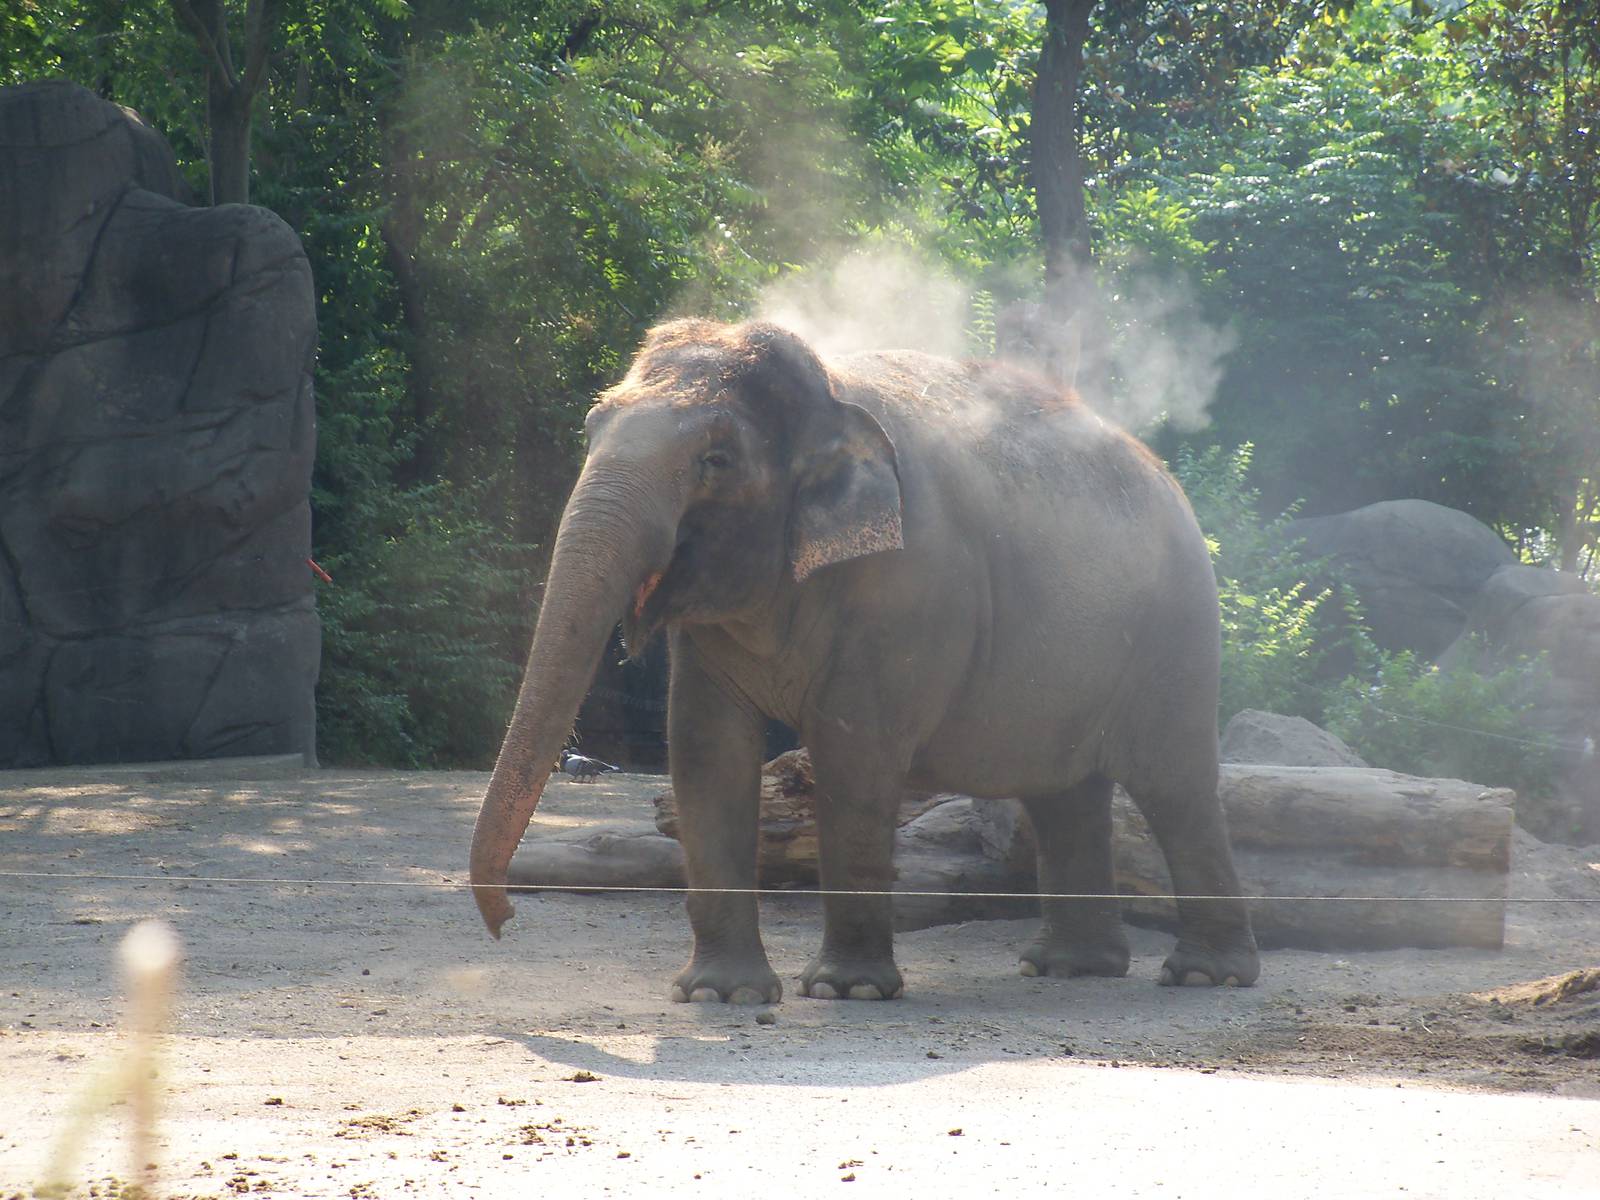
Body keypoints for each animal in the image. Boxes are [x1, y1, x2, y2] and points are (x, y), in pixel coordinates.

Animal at [469, 318, 1260, 1003]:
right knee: (1063, 793)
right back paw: (1068, 967)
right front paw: (721, 994)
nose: (504, 923)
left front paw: (843, 989)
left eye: (715, 462)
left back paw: (1204, 975)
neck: (827, 389)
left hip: (1178, 633)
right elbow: (703, 749)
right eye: (590, 430)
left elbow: (855, 753)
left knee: (1174, 784)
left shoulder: (909, 589)